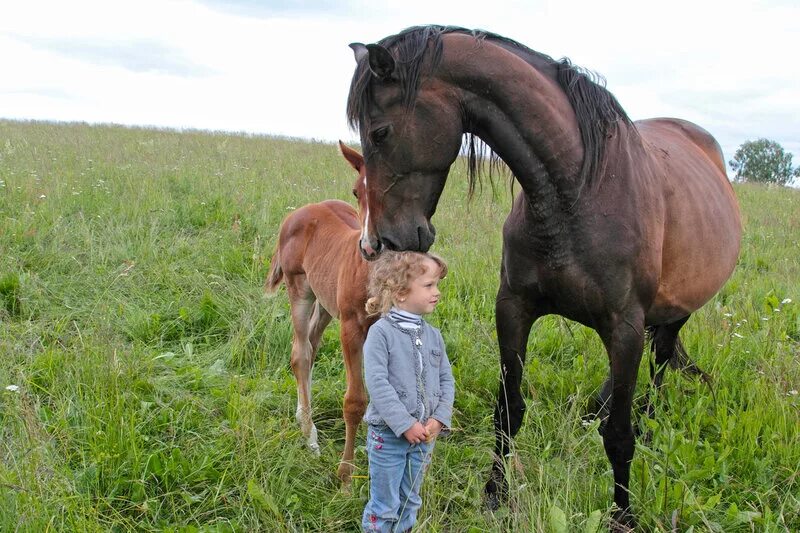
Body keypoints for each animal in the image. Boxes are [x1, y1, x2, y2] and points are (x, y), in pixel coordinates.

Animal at [264, 141, 374, 486]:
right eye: (357, 190)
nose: (370, 246)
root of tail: (298, 212)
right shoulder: (351, 326)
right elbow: (355, 400)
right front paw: (346, 476)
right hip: (299, 290)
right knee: (300, 353)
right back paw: (309, 436)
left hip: (325, 303)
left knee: (310, 347)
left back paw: (304, 415)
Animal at [346, 26, 740, 528]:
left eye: (380, 132)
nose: (376, 243)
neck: (578, 192)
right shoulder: (514, 308)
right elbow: (509, 410)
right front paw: (494, 494)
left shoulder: (625, 327)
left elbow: (619, 436)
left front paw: (623, 515)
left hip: (676, 313)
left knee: (660, 362)